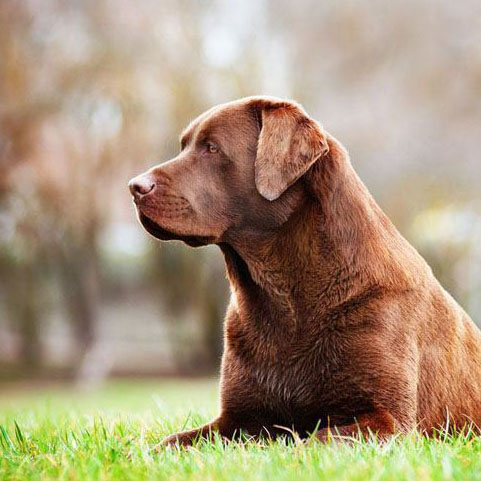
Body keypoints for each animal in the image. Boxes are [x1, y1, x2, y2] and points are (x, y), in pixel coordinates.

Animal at [127, 95, 480, 444]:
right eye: (183, 146)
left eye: (211, 148)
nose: (134, 187)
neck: (285, 298)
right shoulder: (238, 419)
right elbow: (171, 442)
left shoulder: (388, 420)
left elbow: (314, 442)